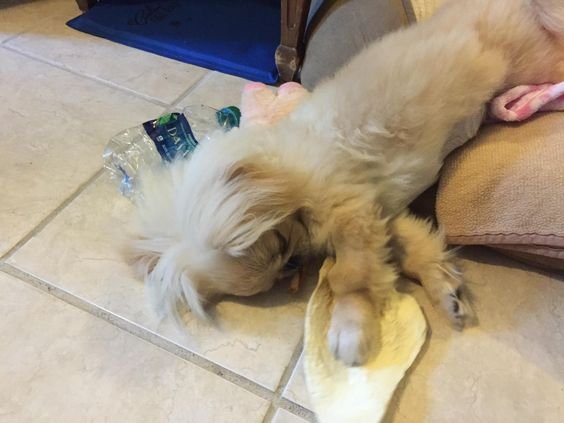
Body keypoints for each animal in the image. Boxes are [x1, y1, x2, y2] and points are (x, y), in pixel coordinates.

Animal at [130, 0, 564, 368]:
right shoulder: (382, 212)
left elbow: (349, 279)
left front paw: (350, 334)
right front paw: (446, 292)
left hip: (534, 61)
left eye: (280, 245)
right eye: (279, 270)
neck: (291, 175)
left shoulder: (353, 215)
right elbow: (415, 253)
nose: (293, 264)